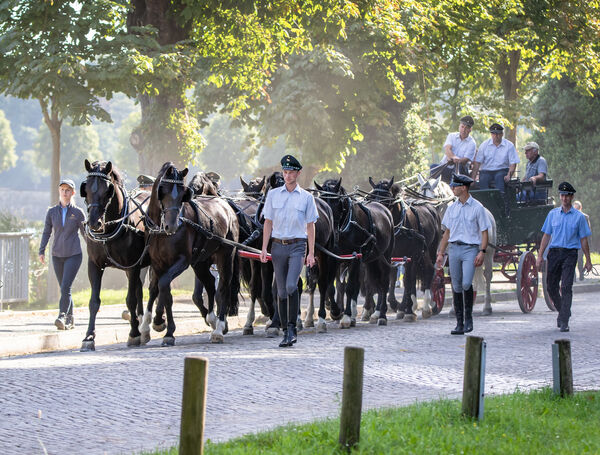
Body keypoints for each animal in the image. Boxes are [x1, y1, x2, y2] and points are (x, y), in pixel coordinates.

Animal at [79, 160, 151, 352]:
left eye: (107, 191)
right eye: (86, 189)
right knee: (141, 289)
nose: (94, 223)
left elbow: (130, 300)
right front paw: (89, 337)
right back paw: (143, 325)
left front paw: (133, 334)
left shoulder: (132, 266)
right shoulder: (94, 265)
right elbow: (94, 302)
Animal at [143, 162, 239, 344]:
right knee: (210, 283)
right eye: (163, 190)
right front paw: (153, 327)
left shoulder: (182, 261)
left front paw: (161, 323)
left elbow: (163, 285)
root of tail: (225, 205)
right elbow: (156, 290)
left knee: (223, 287)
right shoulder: (157, 263)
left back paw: (219, 328)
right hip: (201, 261)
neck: (161, 231)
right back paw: (212, 319)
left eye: (183, 193)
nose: (172, 225)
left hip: (226, 254)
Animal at [314, 178, 394, 328]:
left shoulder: (355, 257)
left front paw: (346, 317)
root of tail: (384, 209)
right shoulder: (334, 258)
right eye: (321, 200)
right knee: (375, 282)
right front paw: (335, 311)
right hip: (372, 260)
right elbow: (331, 286)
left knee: (384, 282)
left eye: (336, 202)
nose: (330, 227)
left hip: (385, 256)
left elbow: (350, 287)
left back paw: (382, 315)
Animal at [366, 176, 440, 322]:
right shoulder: (387, 256)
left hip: (429, 250)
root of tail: (430, 207)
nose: (376, 215)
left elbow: (408, 280)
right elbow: (386, 281)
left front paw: (409, 311)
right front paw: (378, 311)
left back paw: (426, 306)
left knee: (428, 271)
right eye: (371, 197)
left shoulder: (410, 255)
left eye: (386, 199)